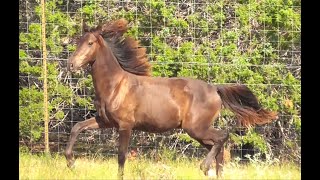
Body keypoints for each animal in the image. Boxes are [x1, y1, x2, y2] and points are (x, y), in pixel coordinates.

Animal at [65, 18, 278, 179]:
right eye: (78, 42)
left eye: (90, 43)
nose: (71, 64)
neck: (115, 86)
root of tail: (215, 89)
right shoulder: (105, 121)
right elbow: (77, 128)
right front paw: (71, 163)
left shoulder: (125, 125)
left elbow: (121, 157)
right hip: (197, 131)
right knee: (219, 148)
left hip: (196, 128)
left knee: (222, 137)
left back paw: (204, 167)